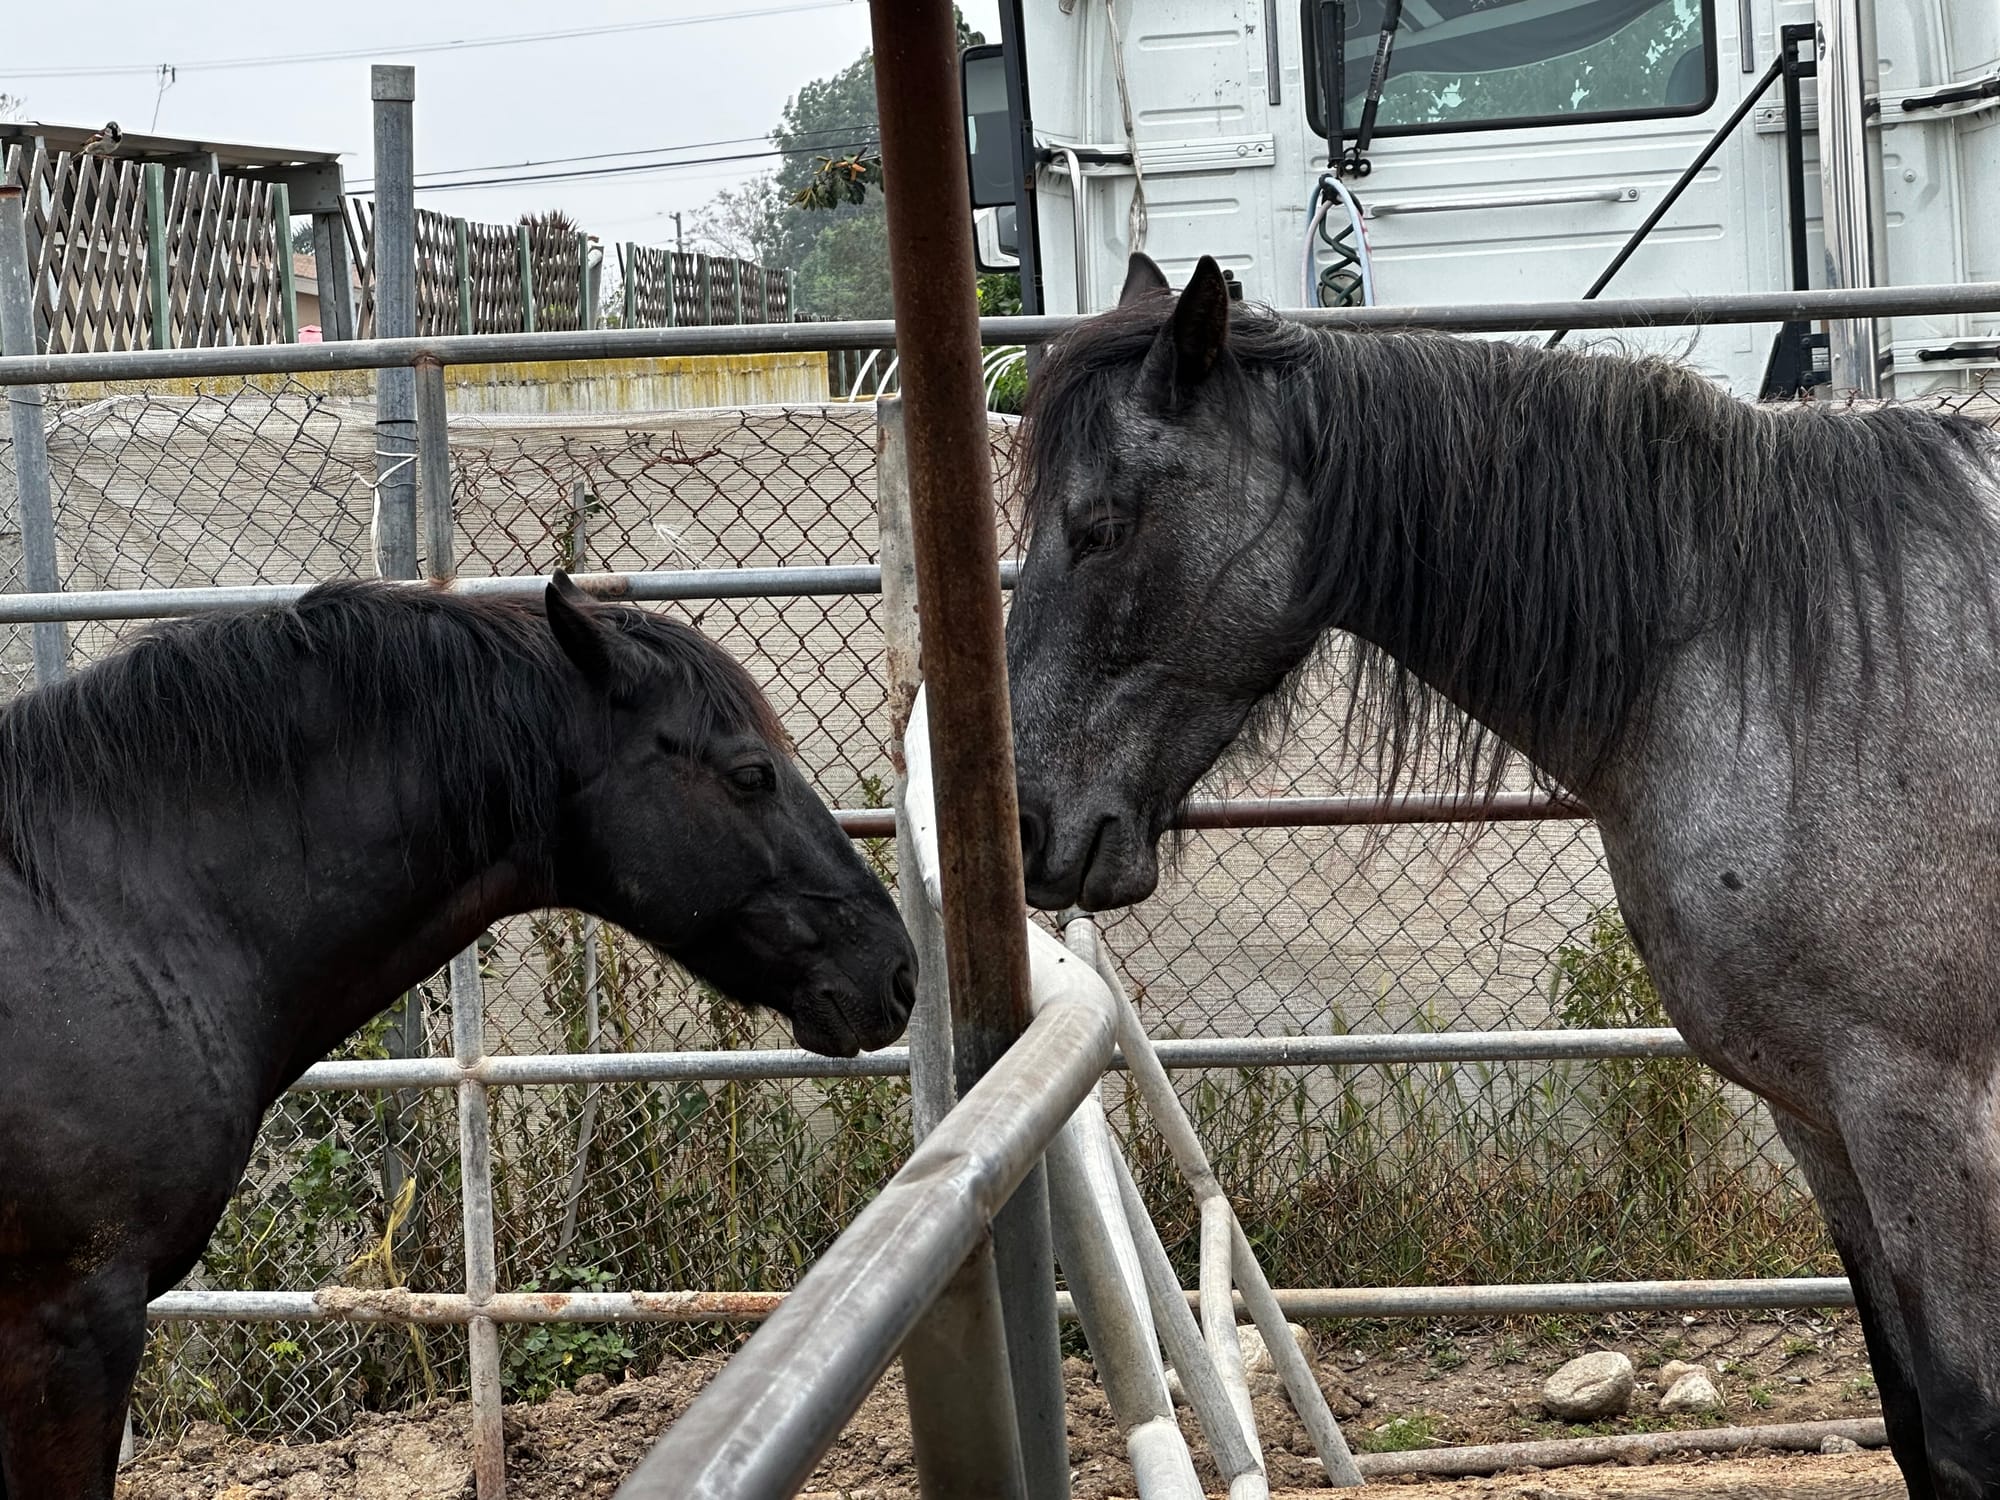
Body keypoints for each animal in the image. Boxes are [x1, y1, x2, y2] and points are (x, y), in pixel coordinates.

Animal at [1005, 250, 2000, 1499]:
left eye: (1101, 526)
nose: (1026, 819)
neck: (1782, 665)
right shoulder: (1817, 1121)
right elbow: (1909, 1419)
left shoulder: (1924, 1115)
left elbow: (1962, 1428)